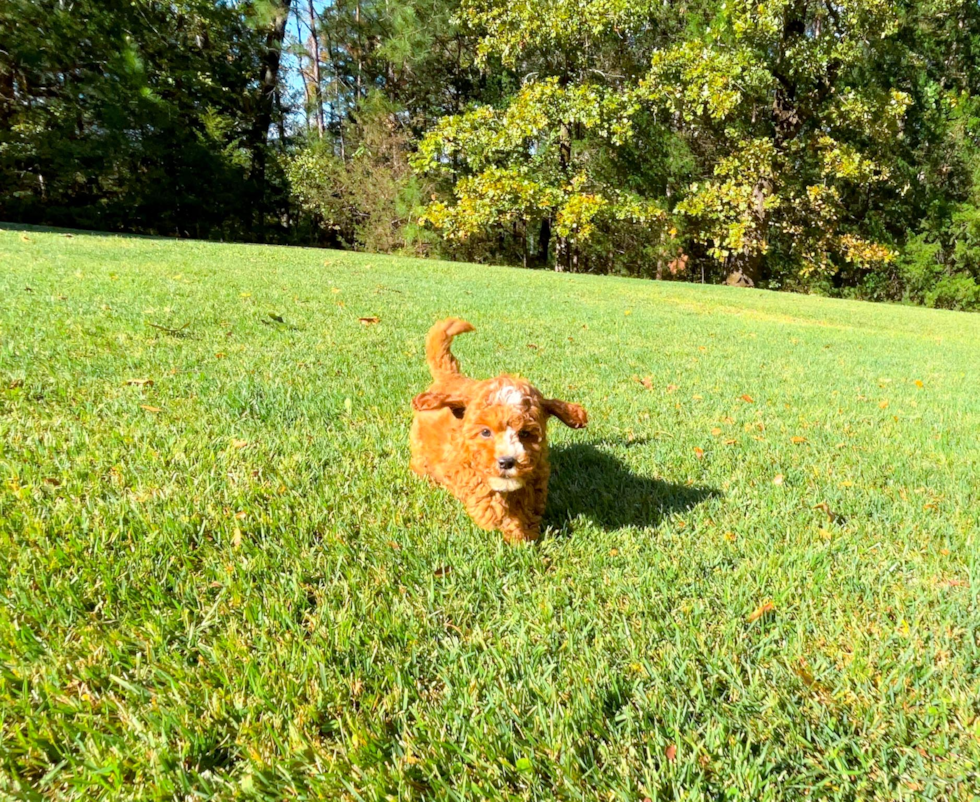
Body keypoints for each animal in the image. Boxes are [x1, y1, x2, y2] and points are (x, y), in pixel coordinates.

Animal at [410, 316, 584, 540]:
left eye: (525, 433)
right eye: (485, 432)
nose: (507, 462)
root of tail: (449, 377)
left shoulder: (536, 474)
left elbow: (529, 505)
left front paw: (526, 532)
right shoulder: (465, 470)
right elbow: (487, 499)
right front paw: (505, 526)